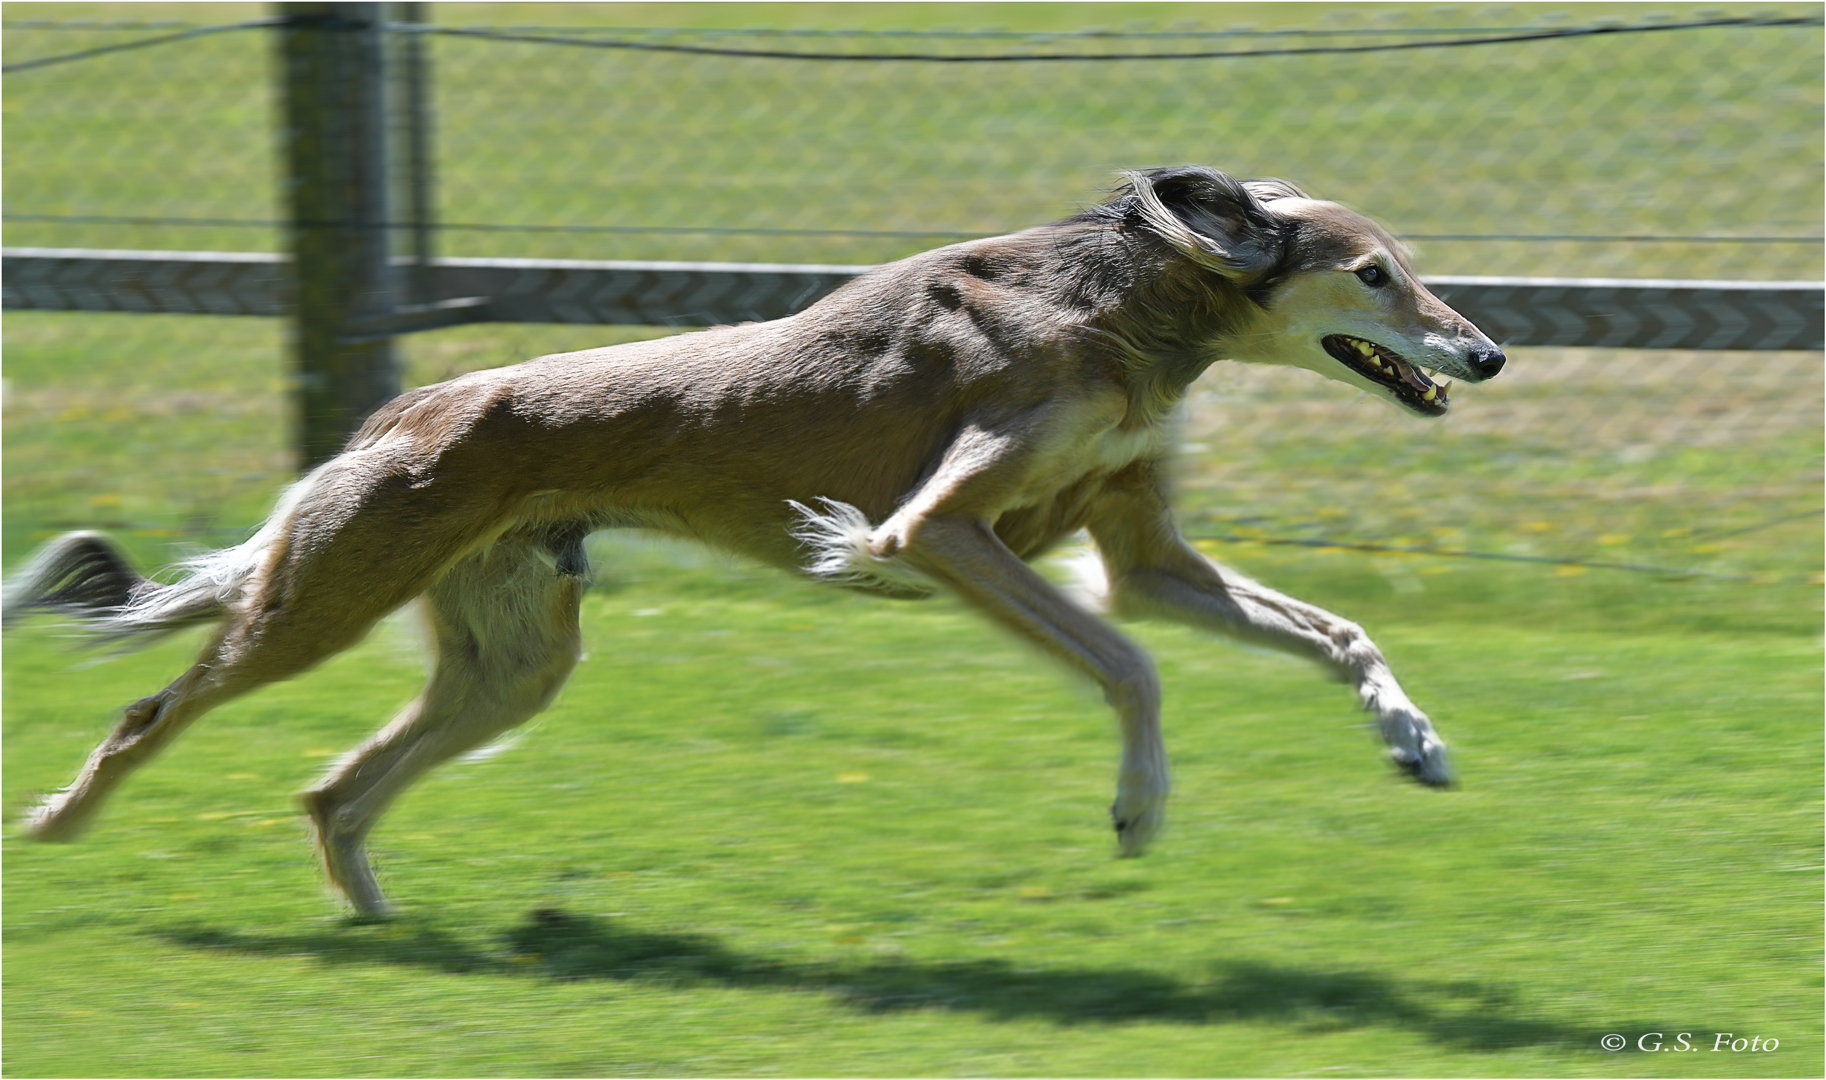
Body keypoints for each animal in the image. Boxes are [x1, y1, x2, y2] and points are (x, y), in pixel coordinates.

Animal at [7, 167, 1504, 913]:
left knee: (335, 790)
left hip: (512, 658)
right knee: (149, 713)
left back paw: (376, 918)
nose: (1485, 354)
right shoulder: (933, 531)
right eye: (1371, 274)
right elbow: (1129, 667)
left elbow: (1334, 630)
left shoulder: (1139, 556)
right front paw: (1138, 807)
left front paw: (1413, 740)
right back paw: (60, 827)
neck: (1127, 303)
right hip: (322, 598)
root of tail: (405, 406)